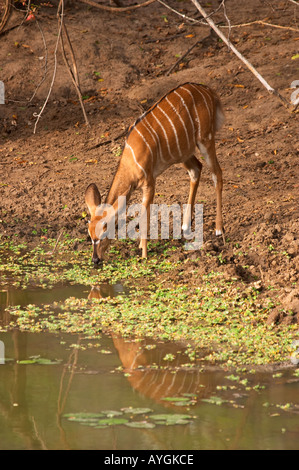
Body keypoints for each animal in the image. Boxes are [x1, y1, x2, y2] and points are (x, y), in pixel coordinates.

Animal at [84, 81, 225, 264]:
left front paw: (143, 253)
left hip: (205, 140)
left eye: (104, 231)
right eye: (89, 234)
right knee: (196, 169)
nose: (95, 260)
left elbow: (145, 218)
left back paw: (218, 229)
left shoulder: (149, 183)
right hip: (182, 152)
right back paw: (185, 226)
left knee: (217, 174)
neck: (130, 160)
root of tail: (208, 90)